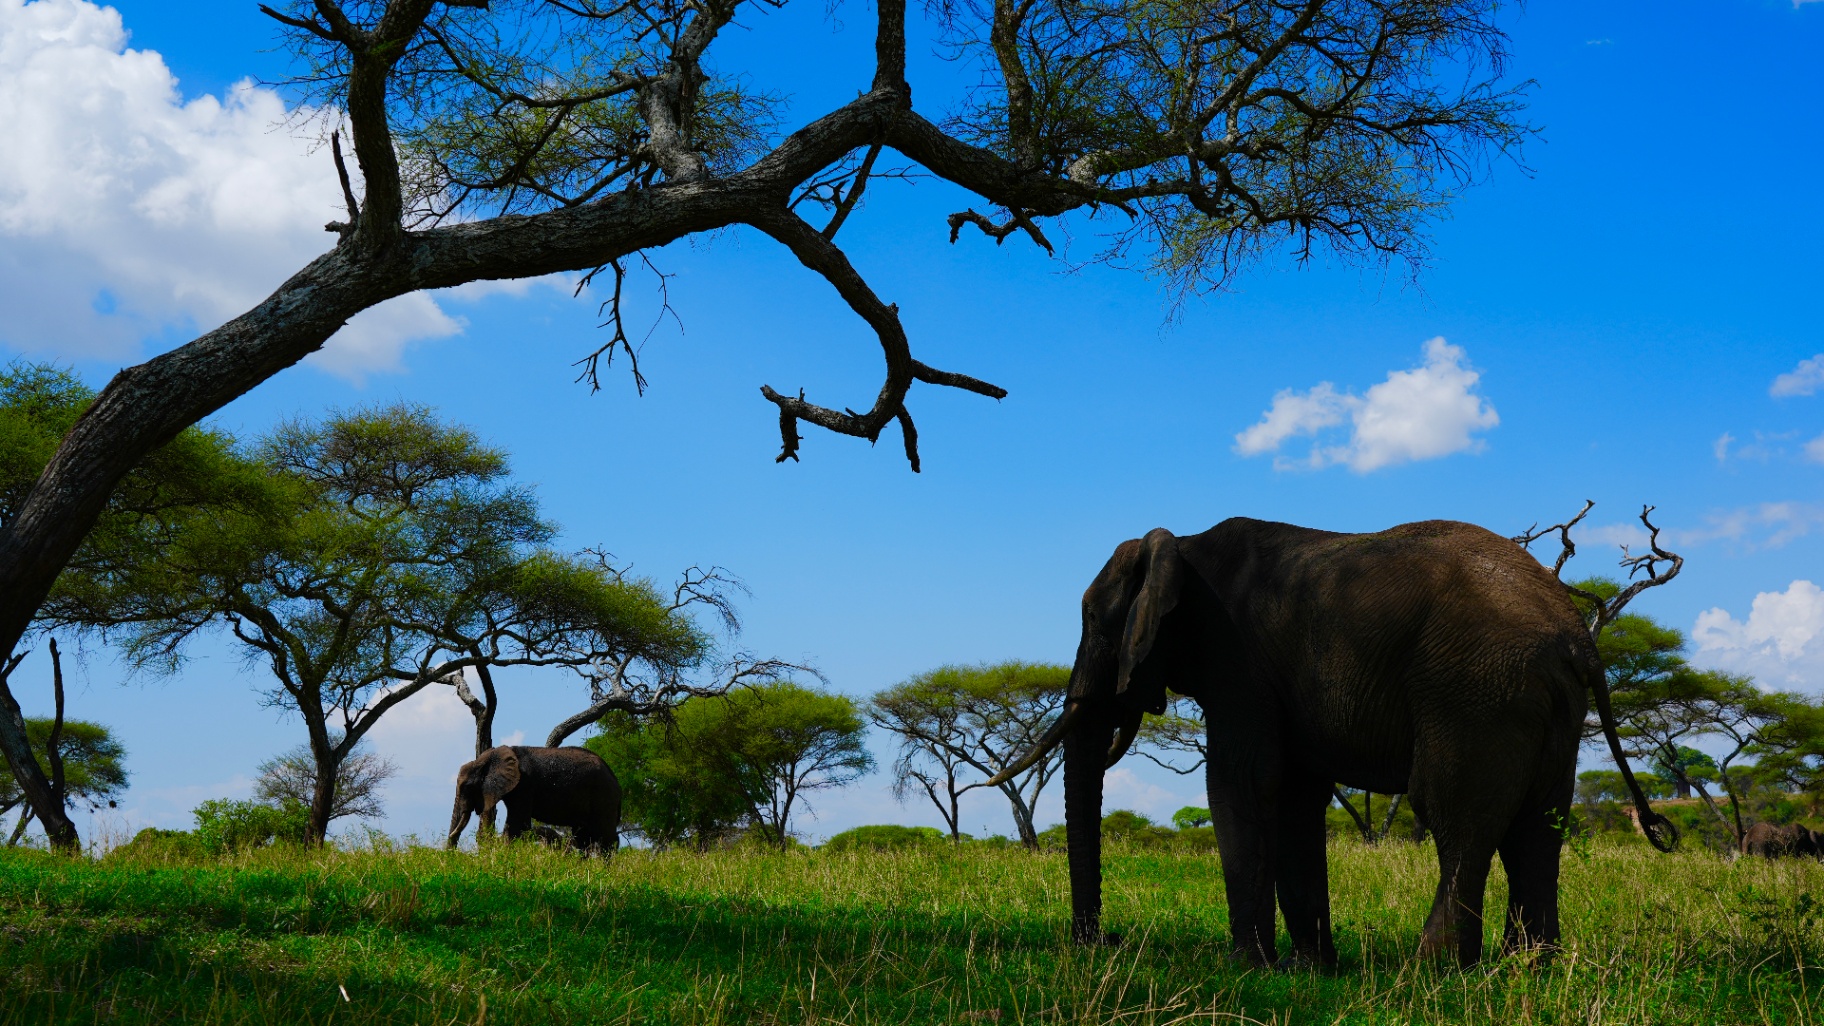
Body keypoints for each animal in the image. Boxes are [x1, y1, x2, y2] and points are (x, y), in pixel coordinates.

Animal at [446, 745, 622, 854]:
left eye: (468, 787)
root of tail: (613, 776)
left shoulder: (524, 785)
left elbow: (517, 825)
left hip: (604, 795)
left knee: (606, 837)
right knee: (583, 837)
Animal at [990, 518, 1673, 968]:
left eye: (1093, 621)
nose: (1100, 941)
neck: (1180, 545)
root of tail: (1577, 638)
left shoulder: (1237, 659)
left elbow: (1243, 782)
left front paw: (1250, 969)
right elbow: (1295, 795)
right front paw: (1310, 970)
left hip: (1477, 692)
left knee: (1455, 816)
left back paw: (1433, 971)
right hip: (1544, 706)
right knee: (1537, 826)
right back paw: (1526, 968)